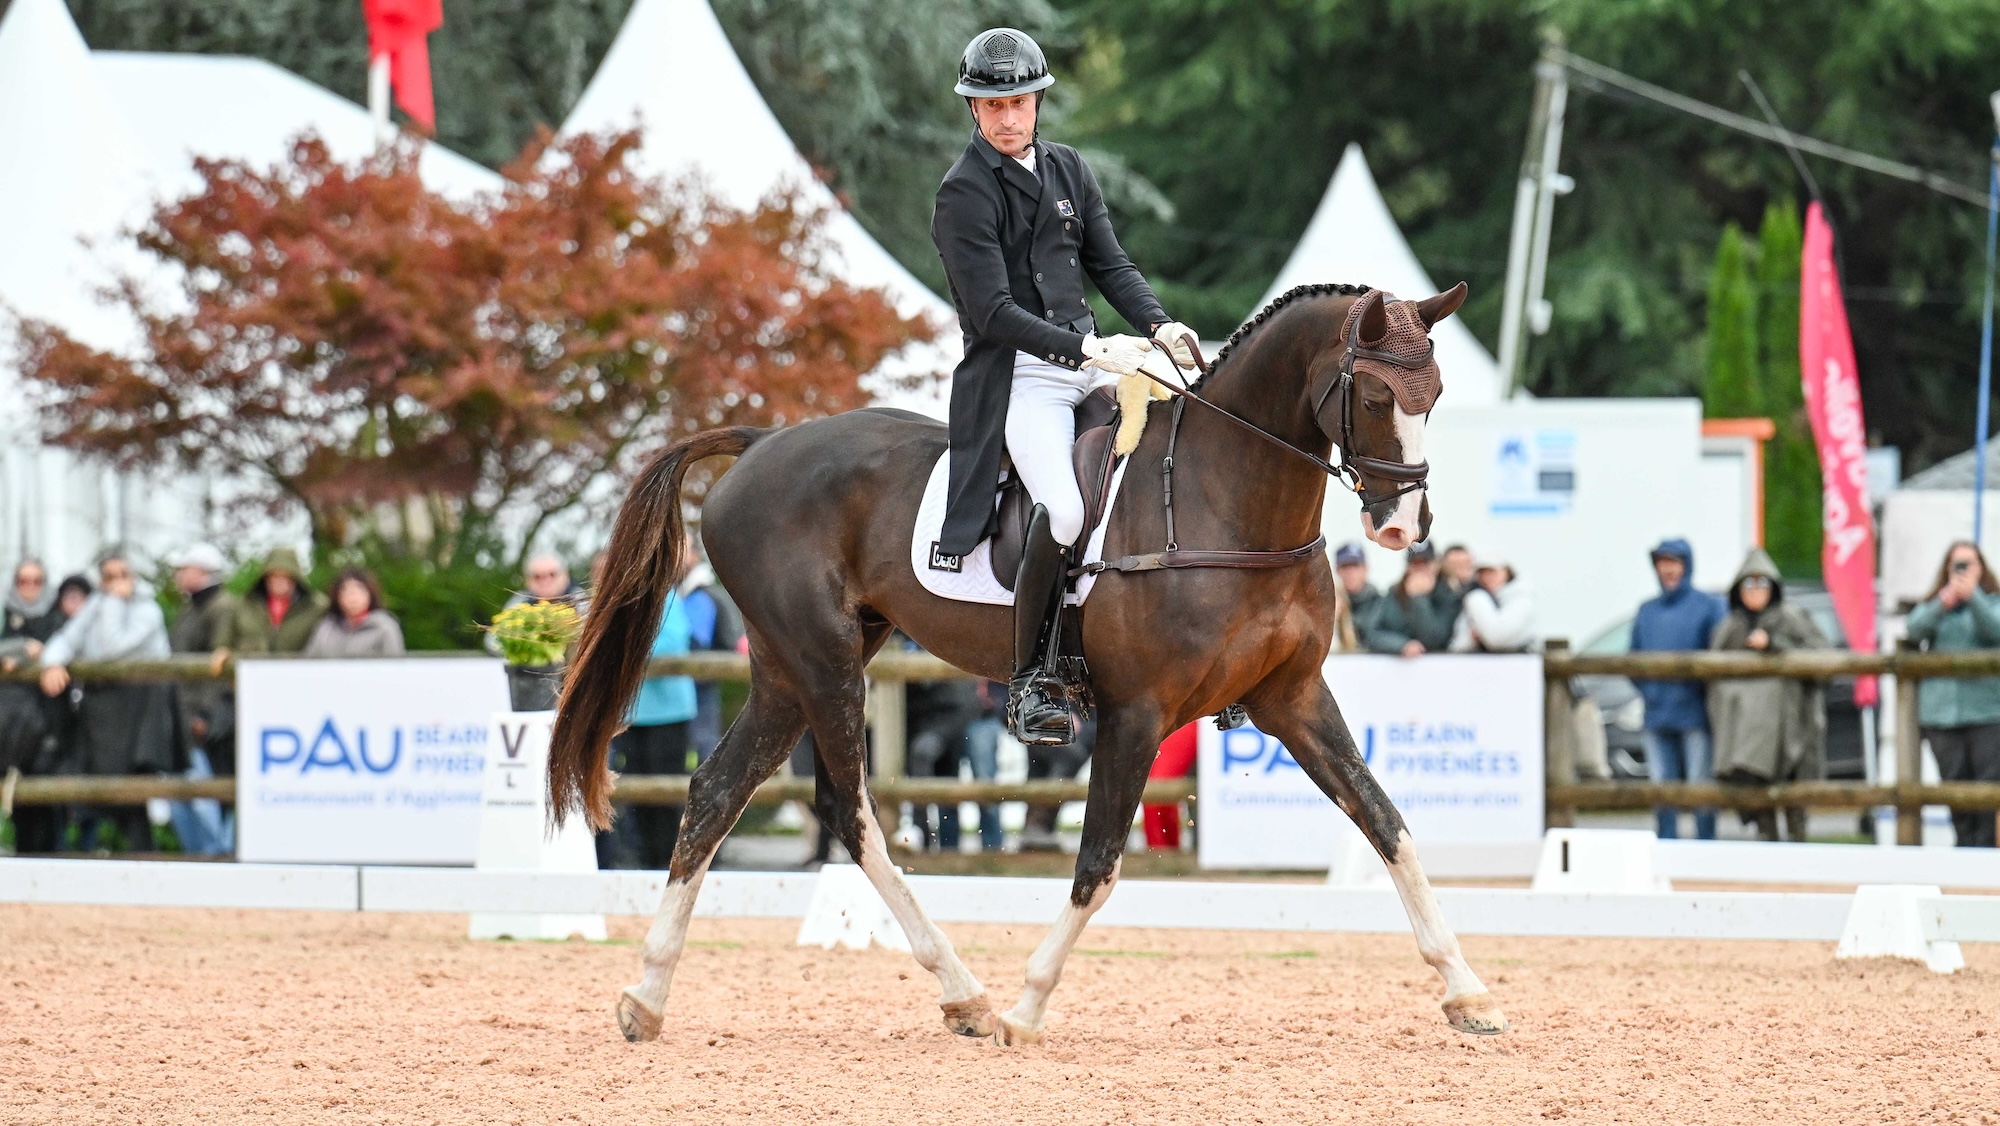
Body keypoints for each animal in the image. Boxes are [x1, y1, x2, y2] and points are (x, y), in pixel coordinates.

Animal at [549, 281, 1509, 1046]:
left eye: (1436, 392)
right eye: (1375, 393)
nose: (1402, 527)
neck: (1226, 497)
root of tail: (759, 444)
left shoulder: (1295, 699)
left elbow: (1388, 824)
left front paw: (1468, 993)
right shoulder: (1136, 713)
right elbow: (1099, 863)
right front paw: (1027, 1007)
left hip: (794, 668)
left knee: (718, 791)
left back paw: (648, 995)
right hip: (823, 662)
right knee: (850, 813)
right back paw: (969, 994)